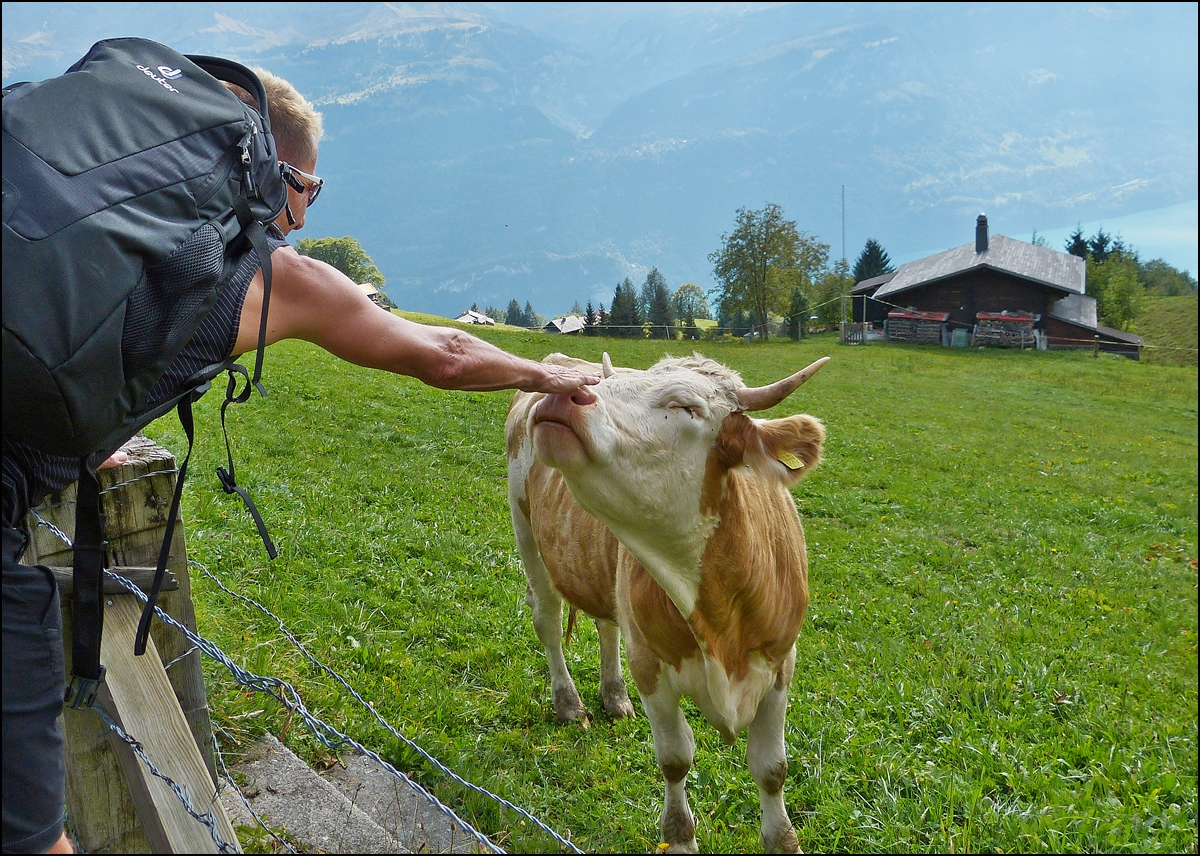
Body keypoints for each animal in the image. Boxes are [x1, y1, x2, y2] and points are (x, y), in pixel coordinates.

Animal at [504, 350, 825, 849]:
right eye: (604, 384)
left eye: (686, 406)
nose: (564, 393)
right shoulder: (650, 666)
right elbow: (675, 758)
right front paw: (680, 838)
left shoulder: (780, 664)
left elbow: (771, 768)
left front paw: (783, 840)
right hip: (527, 534)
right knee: (549, 623)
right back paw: (569, 702)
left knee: (607, 625)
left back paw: (614, 695)